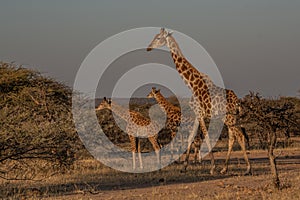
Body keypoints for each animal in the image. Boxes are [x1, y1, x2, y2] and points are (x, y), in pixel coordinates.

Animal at [146, 28, 252, 175]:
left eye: (158, 38)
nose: (148, 47)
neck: (192, 84)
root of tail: (238, 101)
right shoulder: (197, 114)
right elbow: (191, 138)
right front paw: (184, 167)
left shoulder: (201, 114)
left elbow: (206, 137)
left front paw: (212, 167)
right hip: (229, 118)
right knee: (233, 137)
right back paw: (224, 168)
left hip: (230, 117)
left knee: (239, 136)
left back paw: (247, 168)